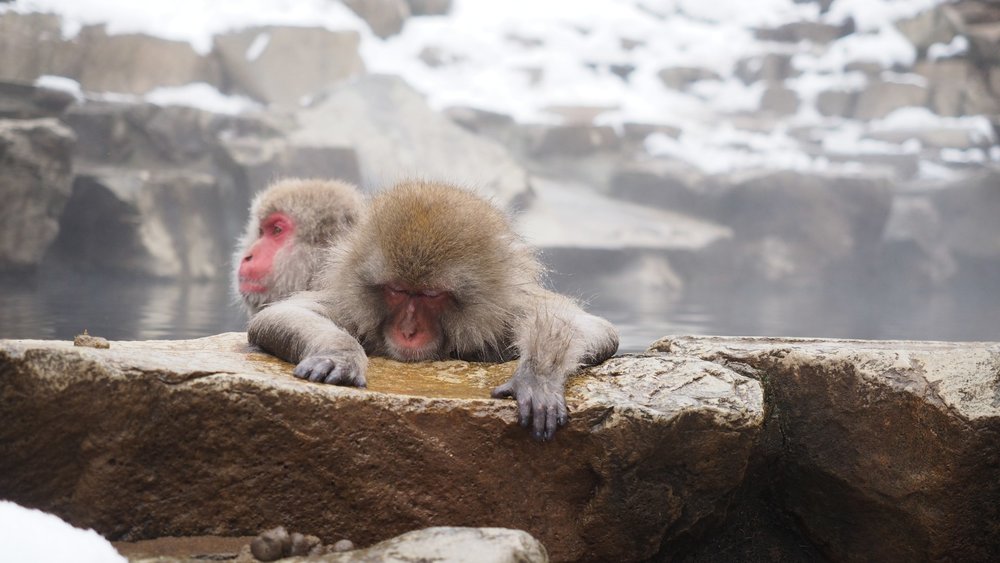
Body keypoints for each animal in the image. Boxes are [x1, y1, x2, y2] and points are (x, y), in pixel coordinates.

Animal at [248, 180, 619, 440]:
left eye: (431, 295)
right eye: (397, 291)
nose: (408, 331)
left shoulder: (504, 314)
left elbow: (594, 327)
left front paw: (537, 376)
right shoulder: (352, 307)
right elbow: (281, 314)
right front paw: (338, 354)